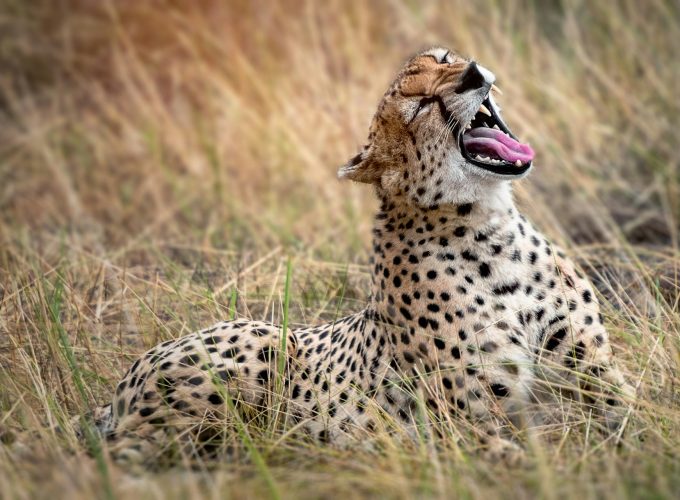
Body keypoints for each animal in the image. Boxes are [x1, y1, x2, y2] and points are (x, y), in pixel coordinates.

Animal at [74, 47, 634, 467]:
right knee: (132, 451)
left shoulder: (590, 367)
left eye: (445, 58)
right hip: (259, 345)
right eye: (422, 106)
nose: (474, 74)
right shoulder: (468, 422)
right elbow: (518, 450)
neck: (490, 229)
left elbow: (630, 407)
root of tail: (121, 386)